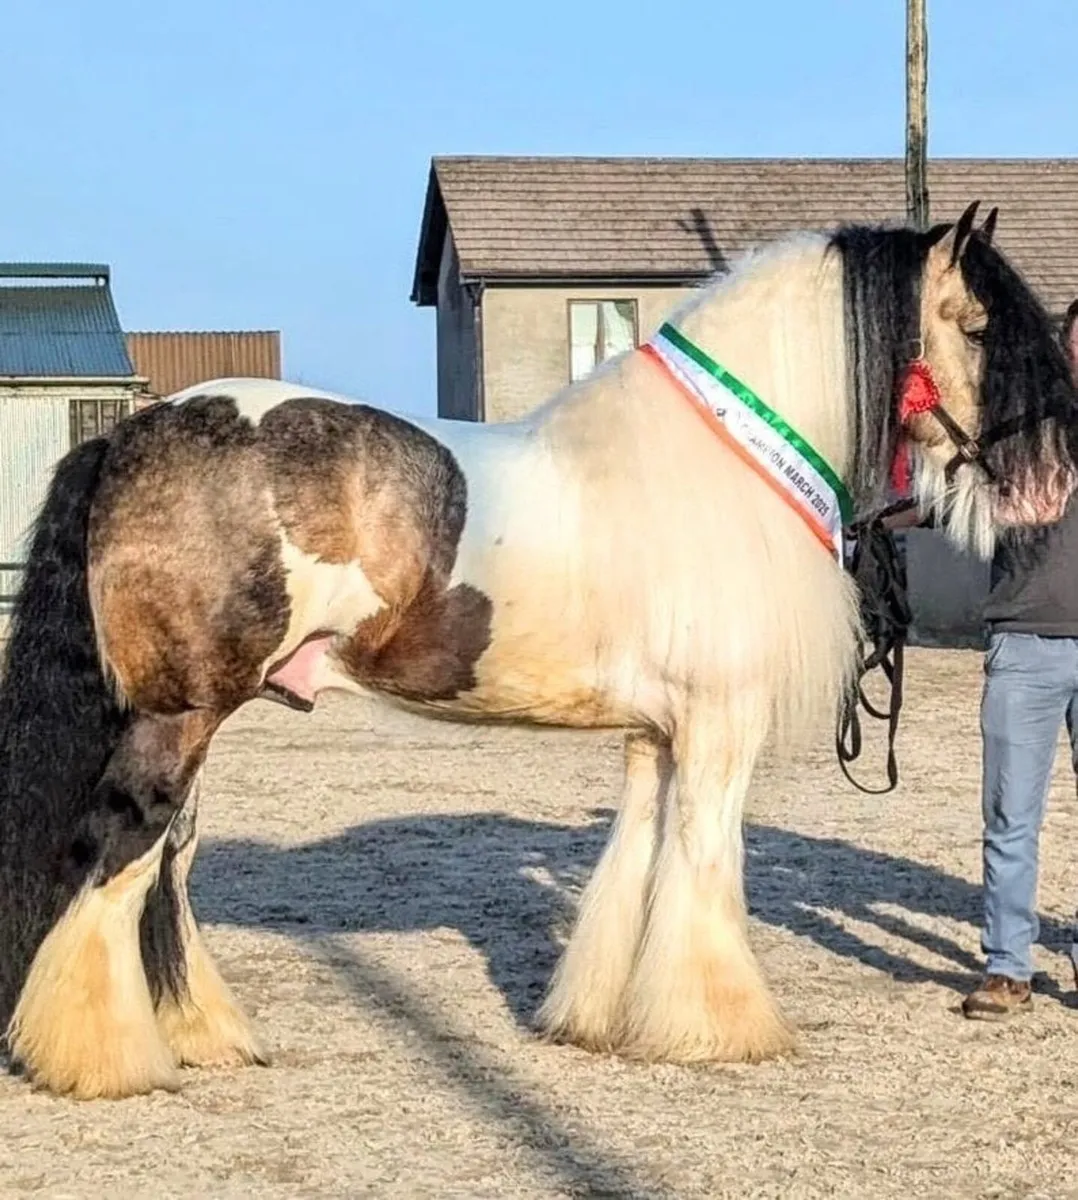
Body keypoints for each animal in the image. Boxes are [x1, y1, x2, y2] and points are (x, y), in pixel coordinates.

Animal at [2, 202, 1075, 1101]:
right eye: (982, 326)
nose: (1051, 486)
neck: (721, 461)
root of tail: (131, 432)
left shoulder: (657, 732)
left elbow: (636, 859)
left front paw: (603, 1019)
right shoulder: (722, 720)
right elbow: (705, 859)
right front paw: (721, 1028)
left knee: (167, 869)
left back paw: (202, 1038)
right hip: (178, 718)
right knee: (121, 856)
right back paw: (102, 1062)